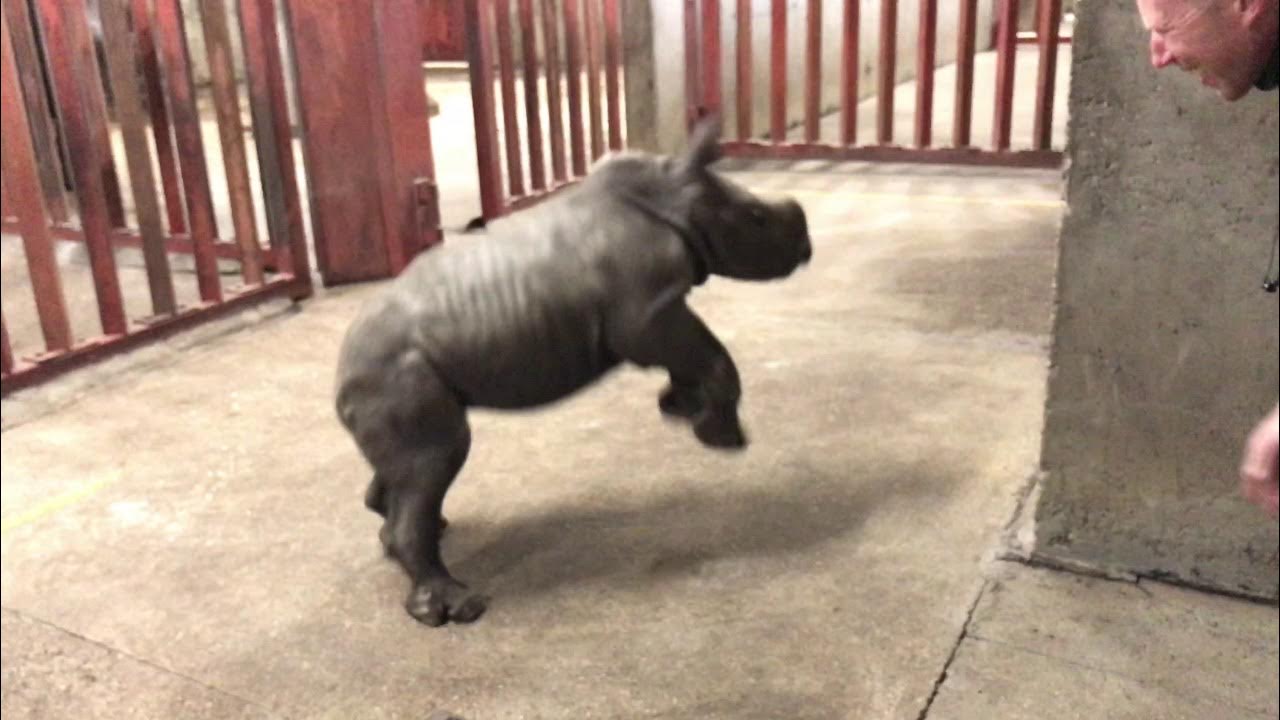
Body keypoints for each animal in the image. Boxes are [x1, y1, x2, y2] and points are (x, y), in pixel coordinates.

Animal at [334, 117, 812, 627]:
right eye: (757, 218)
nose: (807, 248)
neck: (676, 195)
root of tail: (339, 378)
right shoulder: (648, 312)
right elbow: (714, 356)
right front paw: (721, 436)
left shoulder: (656, 312)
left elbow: (695, 356)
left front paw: (679, 407)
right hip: (394, 375)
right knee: (437, 455)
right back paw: (459, 606)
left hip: (387, 379)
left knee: (408, 465)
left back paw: (422, 534)